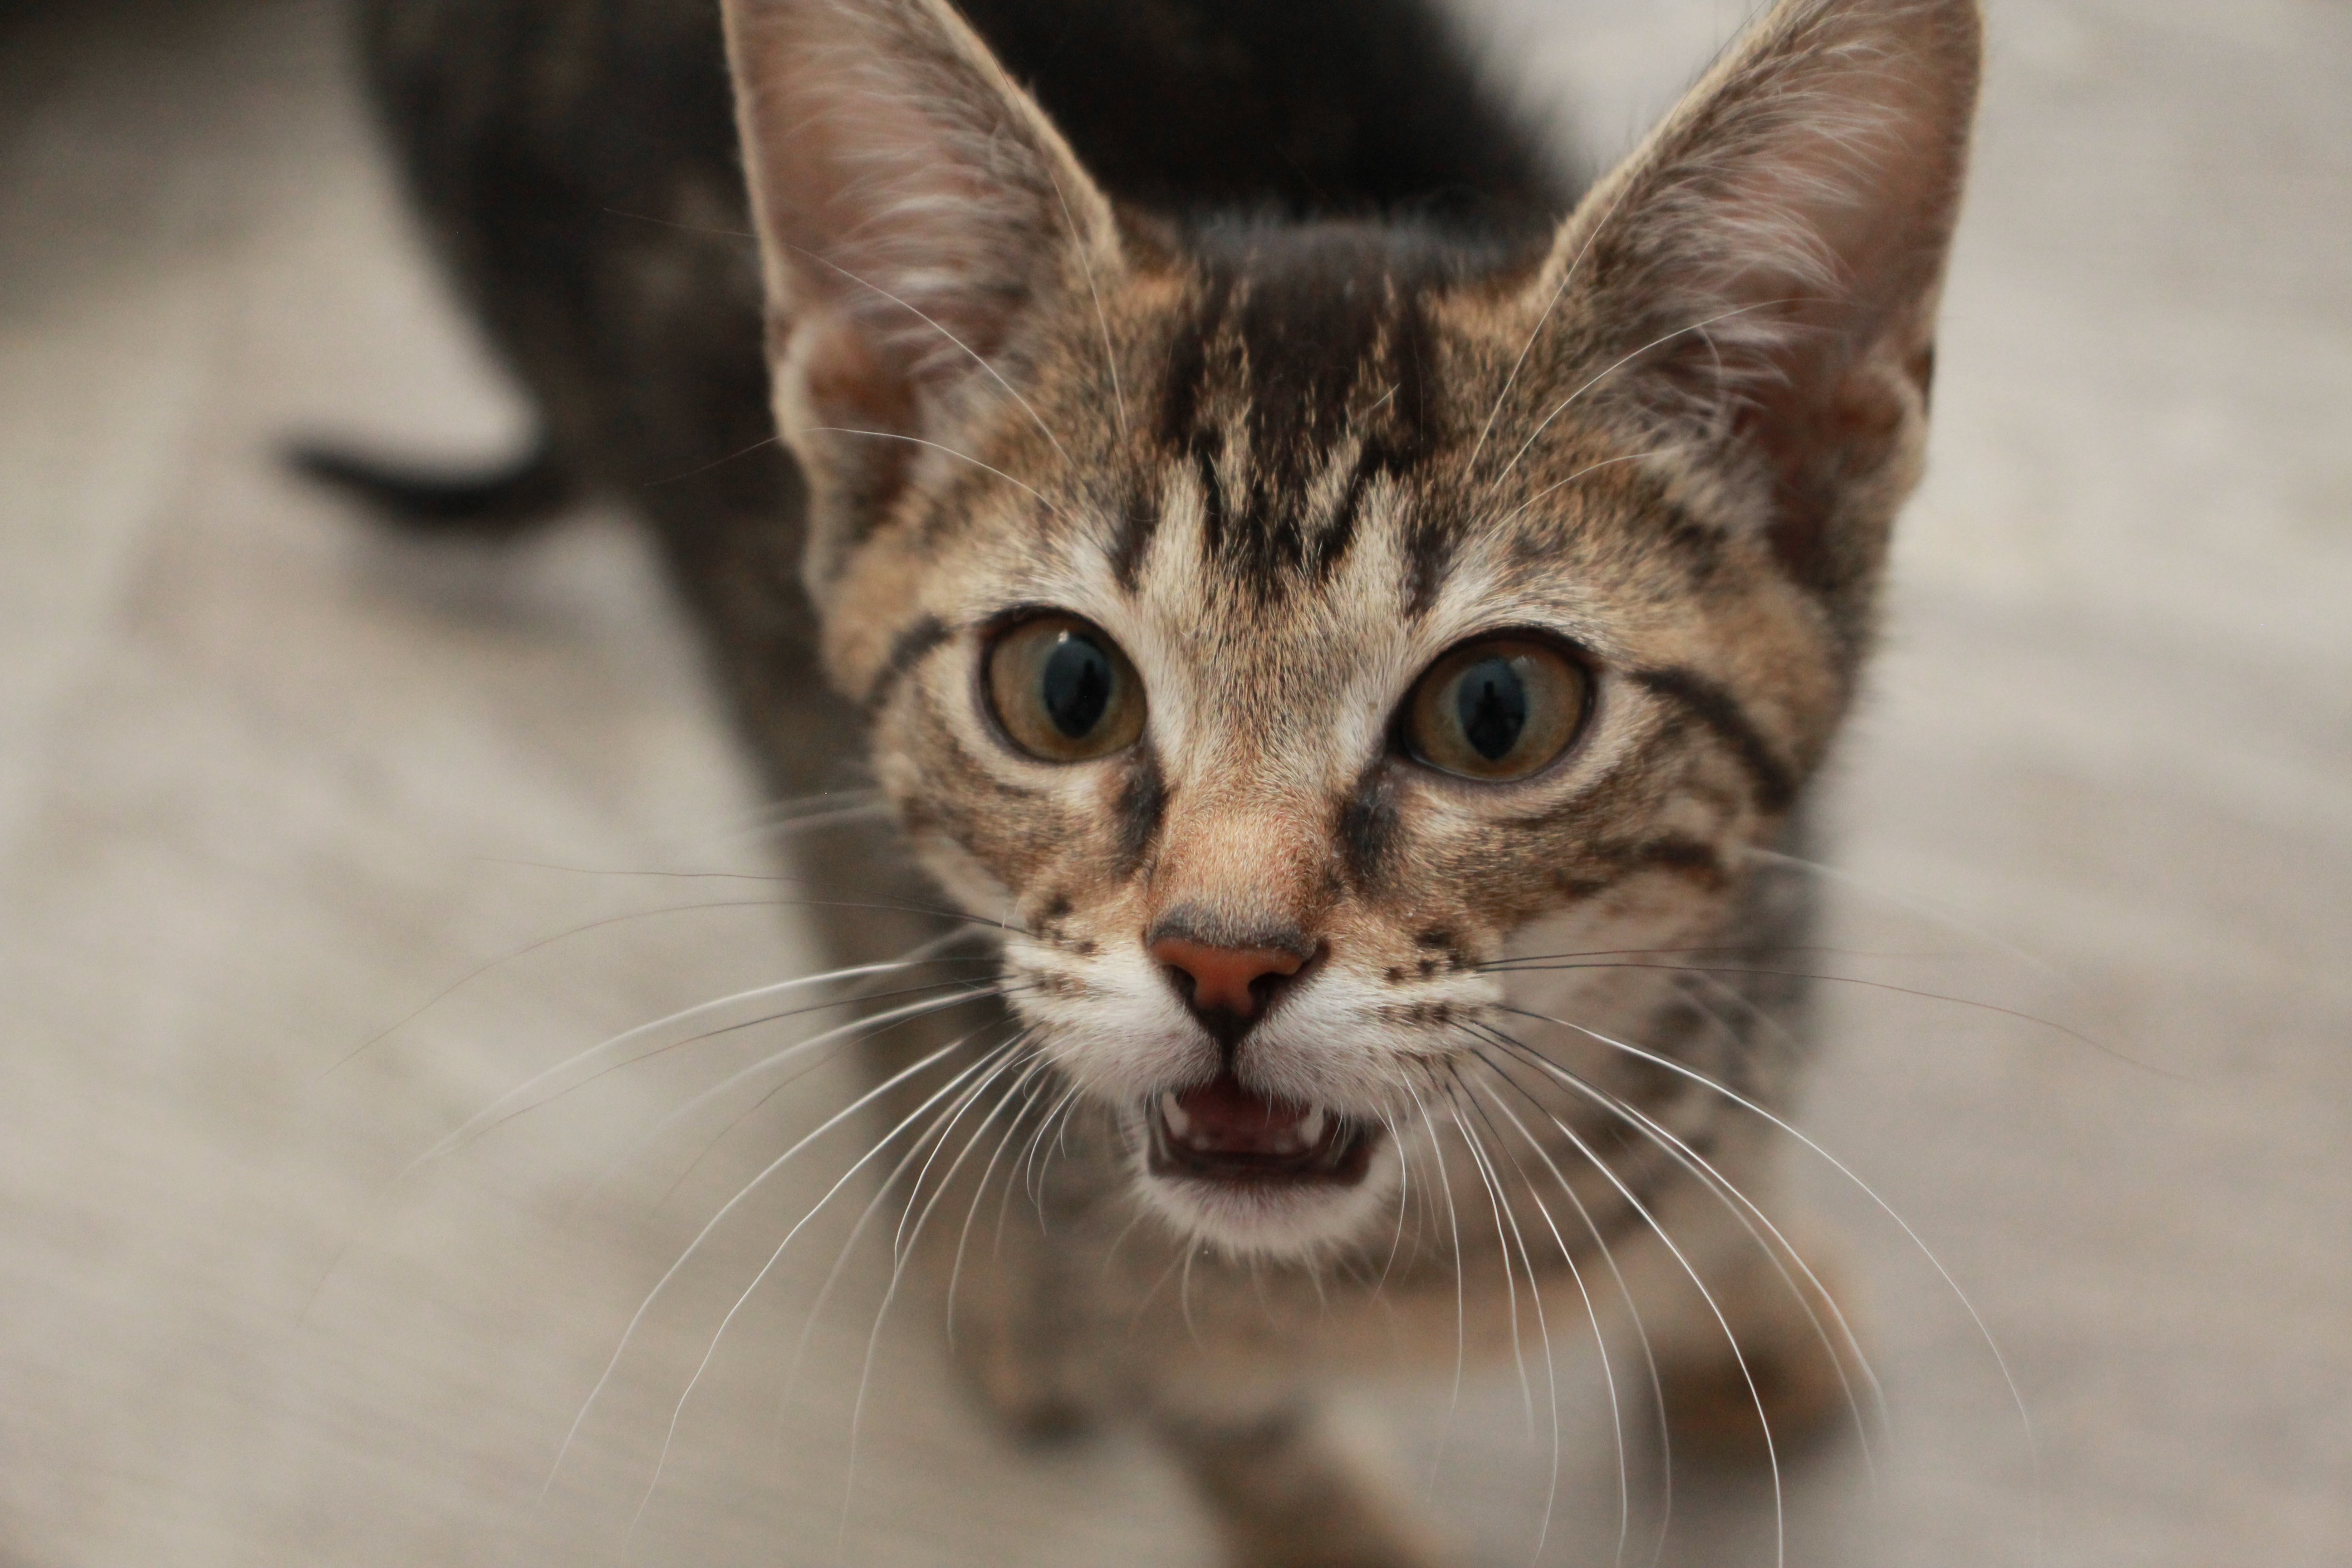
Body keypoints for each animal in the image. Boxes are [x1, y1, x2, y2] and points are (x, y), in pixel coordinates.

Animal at [303, 0, 1975, 1561]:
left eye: (1496, 711)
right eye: (1064, 689)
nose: (1222, 958)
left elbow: (1707, 1166)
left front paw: (1747, 1305)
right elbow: (1256, 1456)